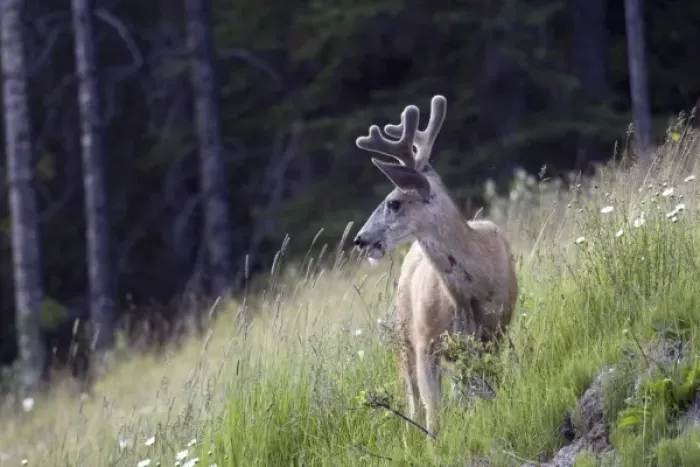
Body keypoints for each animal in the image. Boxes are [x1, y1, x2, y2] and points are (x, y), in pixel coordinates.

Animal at [352, 95, 518, 436]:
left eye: (394, 202)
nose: (359, 239)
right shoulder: (425, 340)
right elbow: (434, 412)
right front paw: (434, 442)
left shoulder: (495, 333)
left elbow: (487, 389)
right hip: (404, 332)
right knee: (414, 397)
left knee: (462, 389)